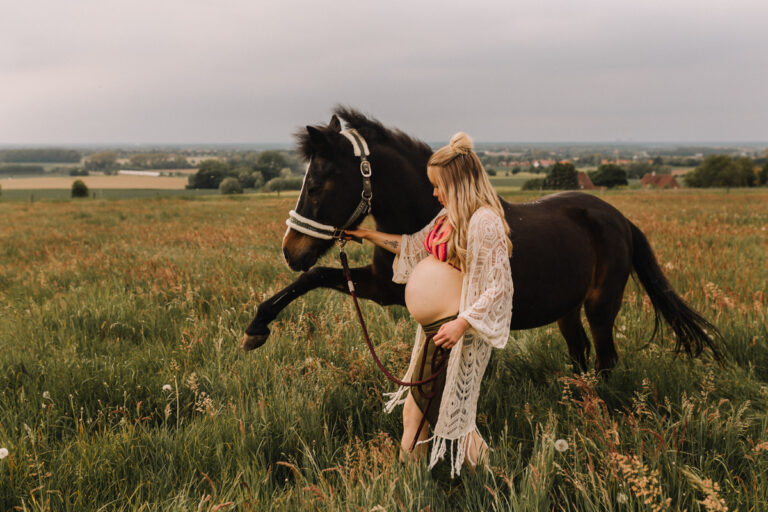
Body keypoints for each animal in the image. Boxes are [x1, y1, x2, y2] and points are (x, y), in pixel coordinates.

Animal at [241, 107, 721, 372]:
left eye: (318, 184)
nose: (290, 250)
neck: (429, 212)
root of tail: (619, 219)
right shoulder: (384, 286)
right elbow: (315, 277)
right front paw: (257, 326)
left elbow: (315, 275)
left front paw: (255, 329)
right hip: (566, 309)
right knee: (580, 351)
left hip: (601, 307)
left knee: (605, 360)